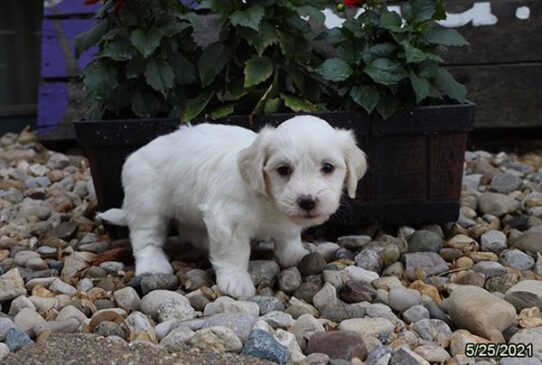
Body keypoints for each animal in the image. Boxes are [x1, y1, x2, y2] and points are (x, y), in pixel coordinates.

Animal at [99, 115, 368, 298]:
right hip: (147, 203)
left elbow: (289, 235)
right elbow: (233, 254)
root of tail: (136, 154)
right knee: (145, 238)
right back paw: (153, 264)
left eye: (328, 167)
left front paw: (295, 253)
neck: (267, 199)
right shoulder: (227, 221)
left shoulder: (285, 219)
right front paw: (236, 281)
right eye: (283, 170)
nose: (307, 201)